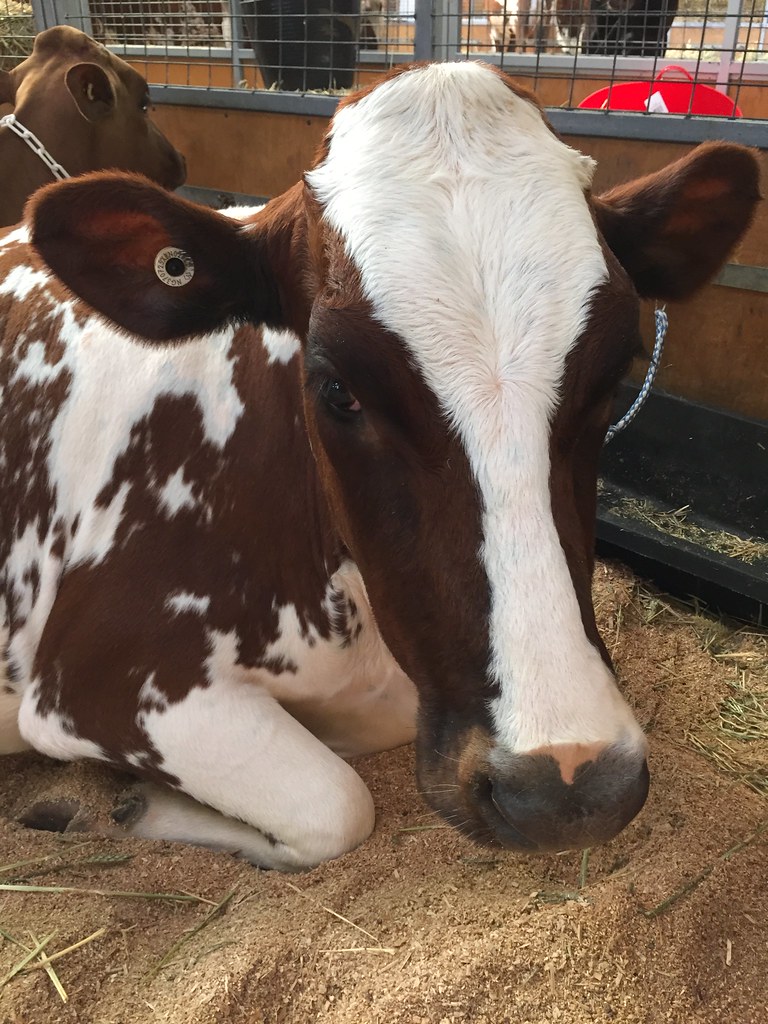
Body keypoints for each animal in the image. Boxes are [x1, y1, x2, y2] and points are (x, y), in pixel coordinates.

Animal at [0, 62, 759, 870]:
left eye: (617, 375)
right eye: (338, 388)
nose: (565, 787)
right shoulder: (99, 681)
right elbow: (335, 805)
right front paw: (111, 803)